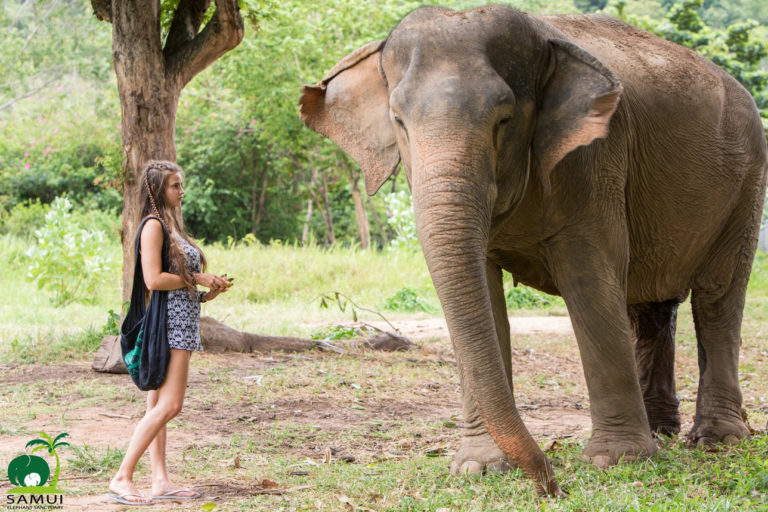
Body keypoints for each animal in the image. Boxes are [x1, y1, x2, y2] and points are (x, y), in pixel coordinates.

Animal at [299, 6, 768, 496]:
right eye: (399, 122)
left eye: (504, 119)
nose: (552, 485)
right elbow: (484, 296)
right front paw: (479, 467)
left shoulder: (595, 158)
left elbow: (590, 282)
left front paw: (617, 461)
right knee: (653, 307)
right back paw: (661, 430)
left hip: (748, 183)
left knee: (717, 298)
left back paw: (717, 440)